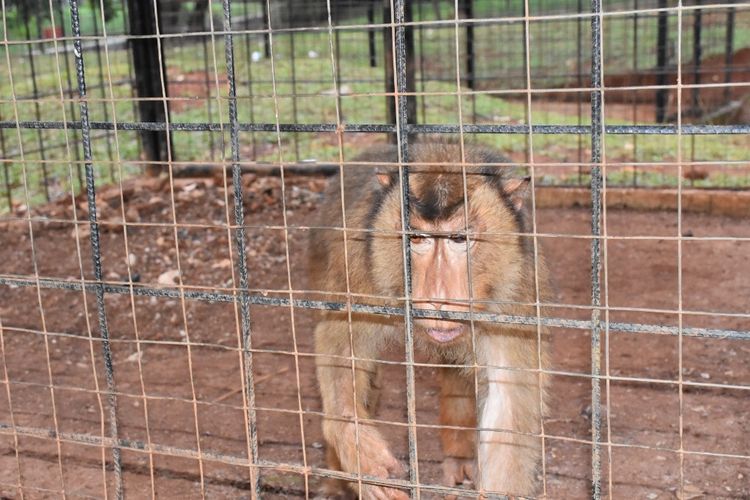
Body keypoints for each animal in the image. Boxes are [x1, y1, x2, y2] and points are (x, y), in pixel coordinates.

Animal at [312, 143, 552, 498]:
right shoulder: (360, 264)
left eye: (458, 239)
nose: (439, 296)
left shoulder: (518, 290)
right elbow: (341, 335)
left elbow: (508, 404)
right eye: (417, 239)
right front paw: (357, 448)